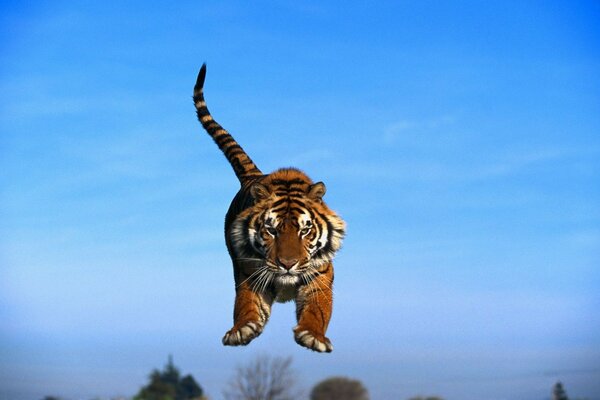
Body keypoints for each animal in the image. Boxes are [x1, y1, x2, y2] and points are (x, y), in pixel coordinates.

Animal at [195, 63, 344, 354]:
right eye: (271, 230)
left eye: (305, 231)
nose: (287, 264)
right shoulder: (249, 273)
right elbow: (246, 305)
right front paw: (241, 330)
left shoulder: (320, 275)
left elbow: (318, 309)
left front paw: (313, 336)